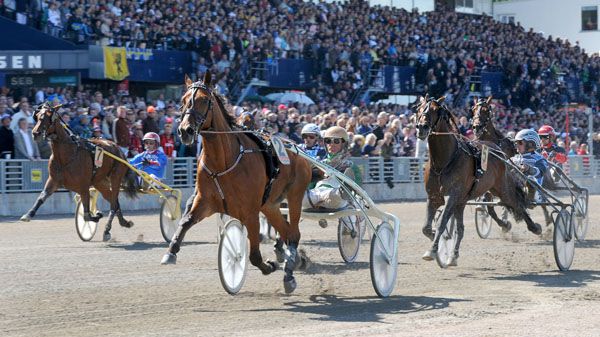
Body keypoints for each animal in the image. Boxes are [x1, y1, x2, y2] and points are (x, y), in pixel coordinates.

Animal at [22, 101, 138, 240]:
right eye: (38, 115)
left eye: (48, 117)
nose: (35, 133)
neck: (66, 156)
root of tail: (118, 148)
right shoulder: (53, 180)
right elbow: (42, 197)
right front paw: (28, 214)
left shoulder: (83, 186)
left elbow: (87, 214)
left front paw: (97, 215)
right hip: (100, 182)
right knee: (114, 202)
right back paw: (123, 223)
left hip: (116, 177)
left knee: (113, 204)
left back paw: (107, 230)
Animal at [159, 73, 312, 292]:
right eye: (183, 100)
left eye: (204, 100)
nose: (185, 131)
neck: (223, 162)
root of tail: (297, 147)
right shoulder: (206, 201)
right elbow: (186, 221)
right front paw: (170, 251)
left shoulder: (250, 212)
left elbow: (255, 256)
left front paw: (269, 266)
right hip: (270, 205)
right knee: (286, 231)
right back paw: (295, 262)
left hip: (295, 196)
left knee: (294, 234)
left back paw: (289, 273)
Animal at [418, 94, 544, 266]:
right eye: (418, 109)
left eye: (435, 110)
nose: (421, 127)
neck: (444, 161)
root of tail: (497, 151)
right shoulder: (434, 197)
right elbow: (426, 227)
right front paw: (439, 241)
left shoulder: (452, 195)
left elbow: (442, 221)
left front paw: (433, 249)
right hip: (466, 199)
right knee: (464, 225)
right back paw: (454, 255)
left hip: (501, 188)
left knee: (515, 203)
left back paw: (533, 227)